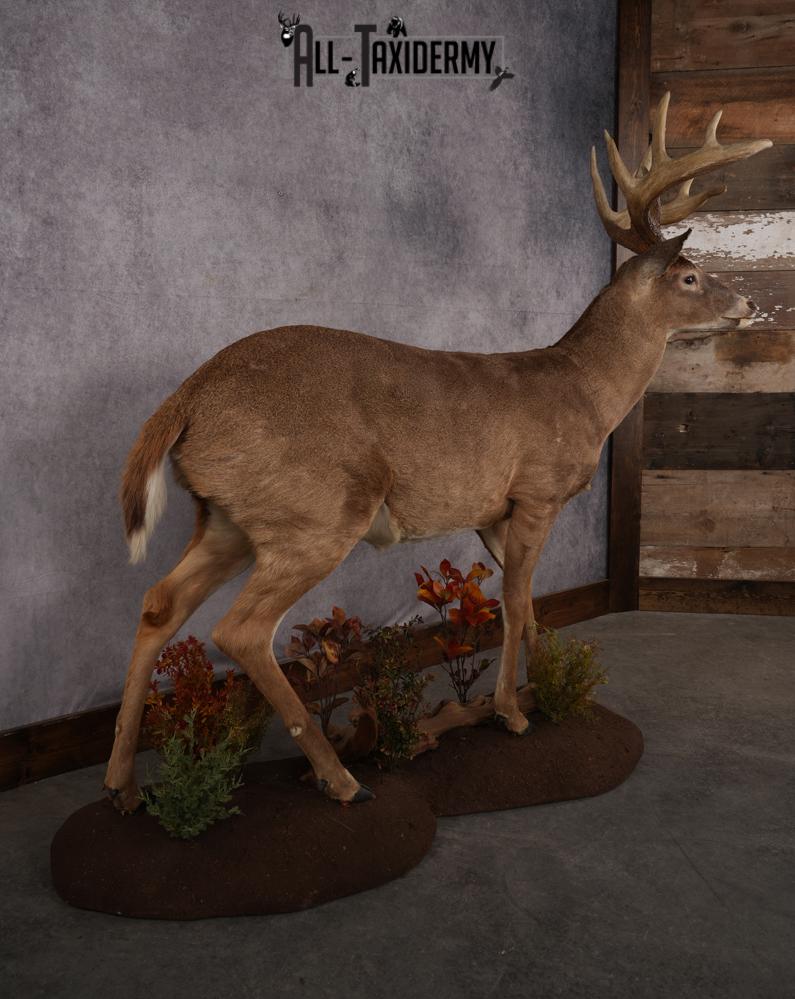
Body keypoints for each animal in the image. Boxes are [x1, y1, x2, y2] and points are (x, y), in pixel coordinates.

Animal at [104, 94, 771, 812]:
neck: (584, 391)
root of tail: (188, 398)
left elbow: (530, 607)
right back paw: (342, 779)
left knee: (158, 602)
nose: (749, 300)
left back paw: (124, 786)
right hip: (316, 509)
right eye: (690, 275)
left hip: (228, 515)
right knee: (242, 629)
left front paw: (549, 696)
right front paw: (512, 712)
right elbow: (515, 603)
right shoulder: (536, 490)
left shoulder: (490, 512)